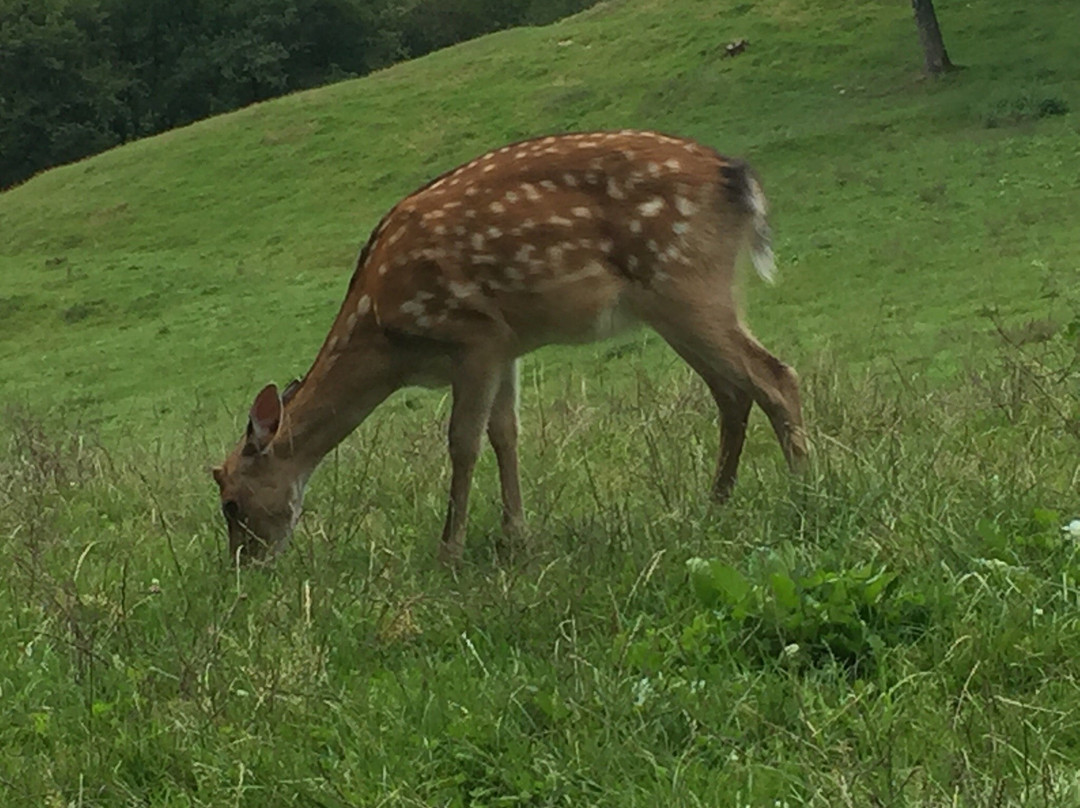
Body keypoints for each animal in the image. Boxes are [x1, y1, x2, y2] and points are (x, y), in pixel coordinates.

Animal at [212, 129, 803, 566]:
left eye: (231, 504)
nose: (247, 567)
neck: (387, 336)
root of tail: (738, 178)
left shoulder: (473, 334)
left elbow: (462, 441)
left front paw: (449, 549)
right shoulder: (507, 345)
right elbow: (505, 432)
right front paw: (515, 535)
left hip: (683, 280)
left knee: (775, 376)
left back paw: (804, 490)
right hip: (683, 299)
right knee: (732, 391)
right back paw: (715, 504)